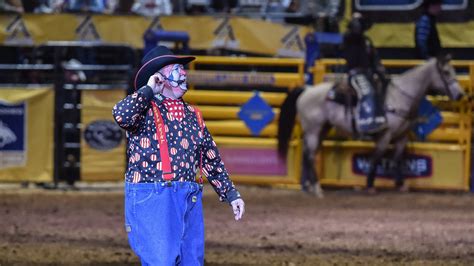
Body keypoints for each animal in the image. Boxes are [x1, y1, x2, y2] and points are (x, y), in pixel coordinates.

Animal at [278, 55, 462, 196]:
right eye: (446, 72)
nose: (460, 94)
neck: (398, 98)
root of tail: (307, 90)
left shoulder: (401, 136)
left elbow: (397, 159)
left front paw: (400, 184)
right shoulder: (385, 136)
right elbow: (376, 158)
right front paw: (370, 184)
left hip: (322, 129)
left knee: (307, 154)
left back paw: (308, 187)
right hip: (313, 130)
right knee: (309, 155)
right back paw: (317, 188)